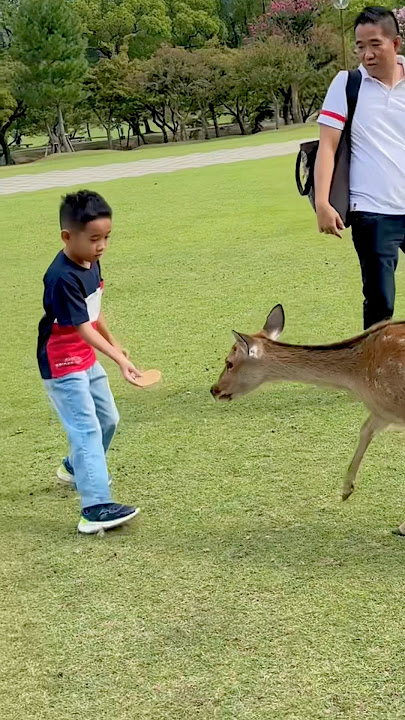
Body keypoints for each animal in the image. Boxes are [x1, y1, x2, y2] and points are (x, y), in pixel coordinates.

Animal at [211, 304, 405, 535]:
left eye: (229, 363)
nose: (214, 390)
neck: (356, 376)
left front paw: (402, 526)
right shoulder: (383, 412)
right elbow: (365, 430)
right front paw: (346, 490)